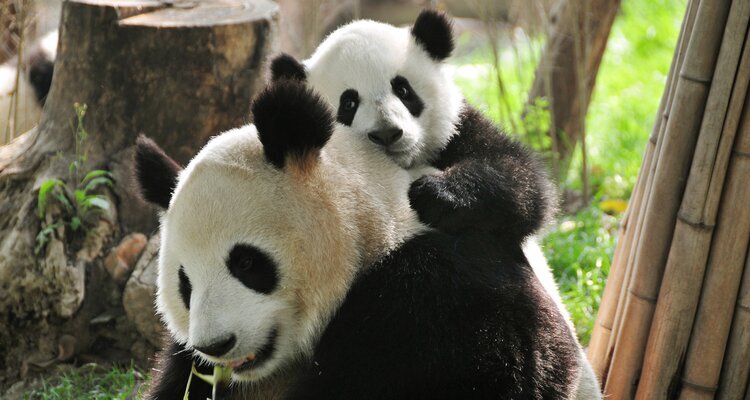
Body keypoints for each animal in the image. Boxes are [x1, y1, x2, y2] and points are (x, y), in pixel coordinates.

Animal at [270, 9, 601, 399]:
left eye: (403, 89)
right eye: (348, 103)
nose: (387, 133)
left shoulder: (460, 130)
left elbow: (521, 185)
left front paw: (437, 195)